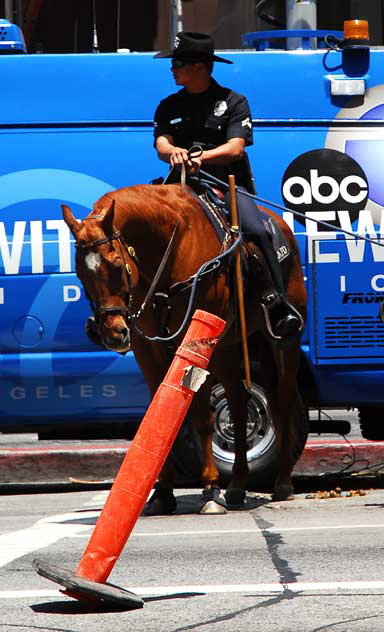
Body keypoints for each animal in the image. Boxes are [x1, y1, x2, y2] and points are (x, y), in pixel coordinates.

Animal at [62, 181, 306, 512]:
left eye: (115, 265)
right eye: (79, 272)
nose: (112, 333)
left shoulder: (194, 341)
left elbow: (202, 416)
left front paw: (210, 489)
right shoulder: (148, 349)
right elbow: (160, 416)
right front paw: (163, 491)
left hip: (283, 342)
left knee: (282, 399)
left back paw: (281, 482)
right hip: (227, 348)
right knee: (238, 404)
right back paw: (237, 485)